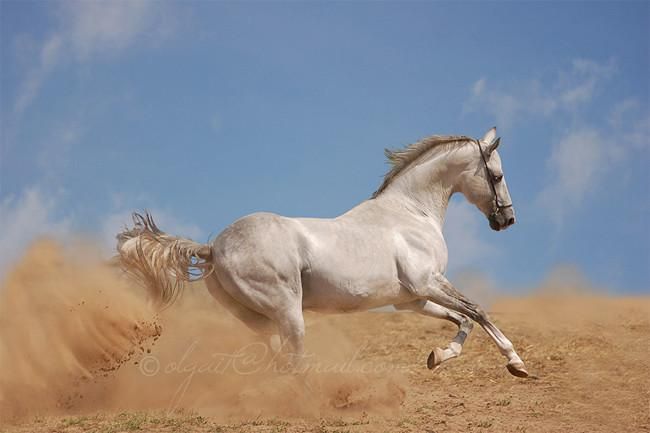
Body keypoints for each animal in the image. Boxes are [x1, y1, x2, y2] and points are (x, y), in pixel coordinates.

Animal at [117, 126, 528, 376]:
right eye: (497, 176)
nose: (507, 219)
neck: (410, 213)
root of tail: (213, 247)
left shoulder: (411, 299)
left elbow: (462, 320)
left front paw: (438, 357)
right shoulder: (428, 282)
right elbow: (478, 311)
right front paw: (517, 363)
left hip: (258, 319)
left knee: (280, 361)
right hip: (288, 310)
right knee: (294, 361)